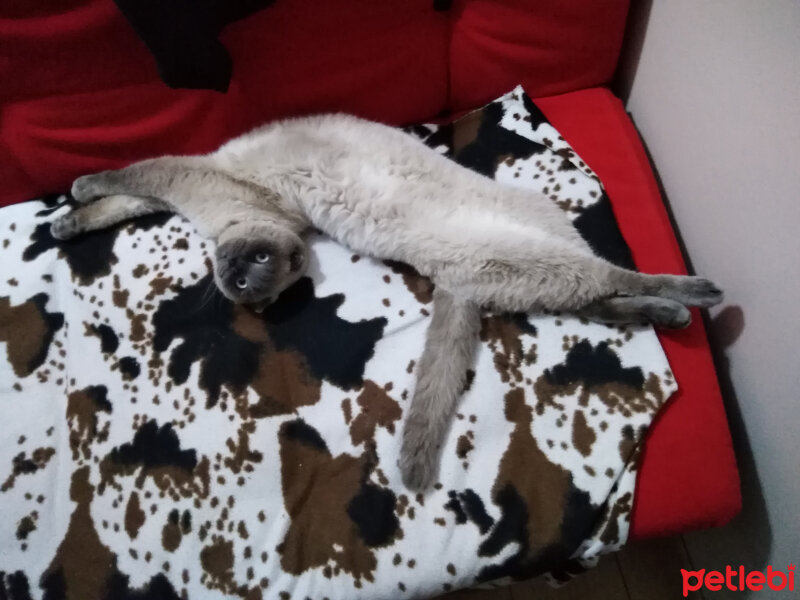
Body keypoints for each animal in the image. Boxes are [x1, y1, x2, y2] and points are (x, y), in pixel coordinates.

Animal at [51, 112, 724, 492]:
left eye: (252, 271)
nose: (240, 273)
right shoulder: (197, 184)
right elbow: (124, 203)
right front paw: (64, 224)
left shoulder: (194, 173)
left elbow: (125, 181)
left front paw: (75, 192)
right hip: (521, 279)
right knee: (605, 298)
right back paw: (672, 315)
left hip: (536, 262)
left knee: (615, 273)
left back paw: (700, 293)